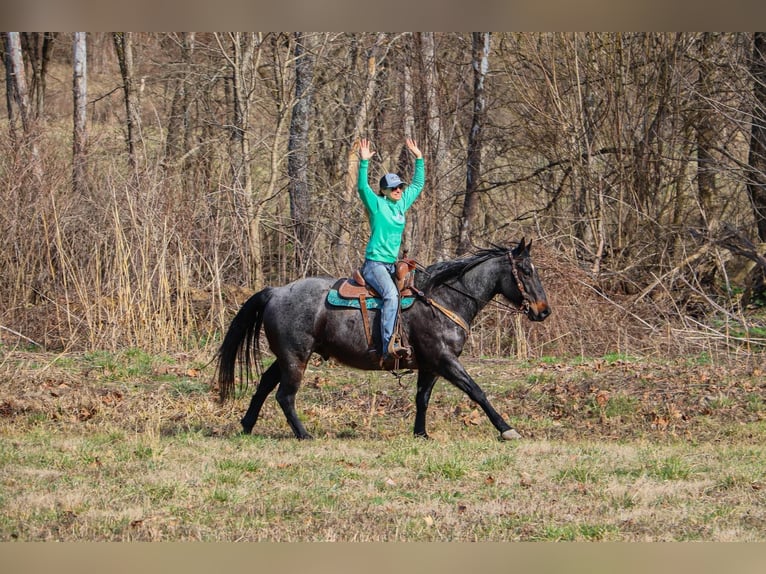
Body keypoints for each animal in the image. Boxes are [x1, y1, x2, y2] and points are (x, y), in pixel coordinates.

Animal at [218, 238, 552, 440]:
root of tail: (275, 291)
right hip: (296, 358)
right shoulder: (445, 360)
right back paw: (303, 434)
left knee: (265, 384)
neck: (443, 300)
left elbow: (422, 399)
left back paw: (247, 425)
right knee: (284, 396)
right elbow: (477, 392)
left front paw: (421, 434)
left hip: (287, 357)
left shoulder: (430, 366)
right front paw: (507, 429)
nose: (544, 311)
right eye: (525, 270)